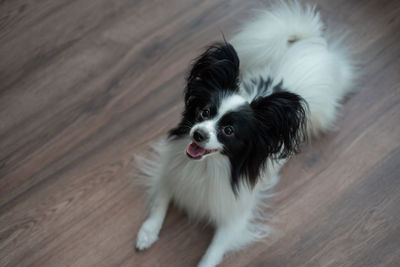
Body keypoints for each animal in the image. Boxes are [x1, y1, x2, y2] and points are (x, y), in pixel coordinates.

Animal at [137, 1, 354, 266]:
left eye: (229, 131)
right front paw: (147, 233)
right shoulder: (169, 173)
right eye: (204, 112)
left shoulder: (234, 221)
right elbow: (160, 201)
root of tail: (311, 44)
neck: (208, 166)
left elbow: (212, 254)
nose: (197, 134)